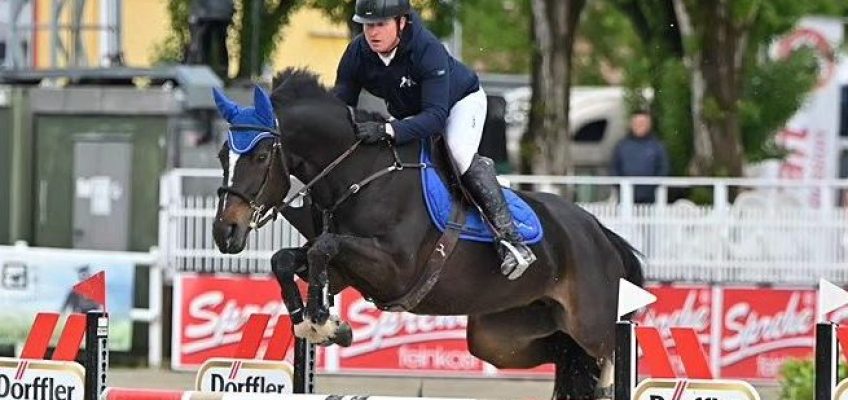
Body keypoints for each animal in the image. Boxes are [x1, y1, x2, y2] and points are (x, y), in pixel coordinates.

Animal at [210, 67, 644, 398]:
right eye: (221, 155)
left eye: (260, 156)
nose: (224, 232)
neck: (359, 174)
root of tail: (600, 233)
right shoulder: (346, 269)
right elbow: (289, 258)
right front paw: (313, 321)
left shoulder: (394, 268)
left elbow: (323, 247)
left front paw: (324, 321)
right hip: (501, 338)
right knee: (566, 356)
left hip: (592, 325)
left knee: (603, 355)